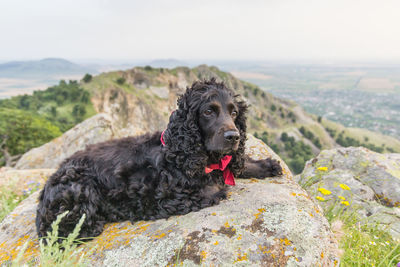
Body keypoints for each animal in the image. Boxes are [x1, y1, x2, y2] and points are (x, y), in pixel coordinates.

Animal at [36, 78, 282, 242]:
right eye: (208, 112)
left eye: (234, 113)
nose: (234, 137)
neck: (180, 152)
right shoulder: (171, 196)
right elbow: (215, 188)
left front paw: (265, 165)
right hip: (79, 186)